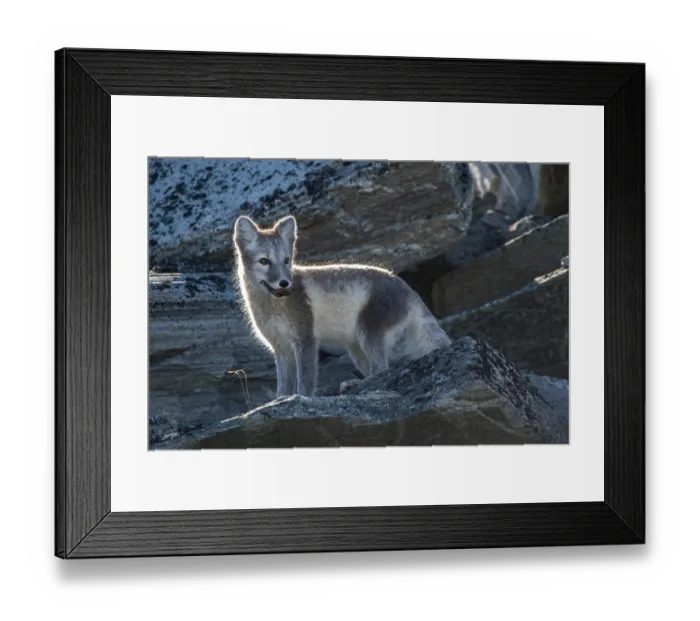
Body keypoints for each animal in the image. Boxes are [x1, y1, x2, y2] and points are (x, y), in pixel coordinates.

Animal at [233, 214, 452, 398]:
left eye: (286, 260)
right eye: (264, 261)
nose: (285, 283)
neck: (271, 306)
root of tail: (409, 290)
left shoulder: (306, 340)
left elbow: (305, 381)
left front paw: (300, 398)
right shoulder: (281, 348)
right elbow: (283, 387)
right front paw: (280, 401)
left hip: (368, 334)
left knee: (382, 368)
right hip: (356, 350)